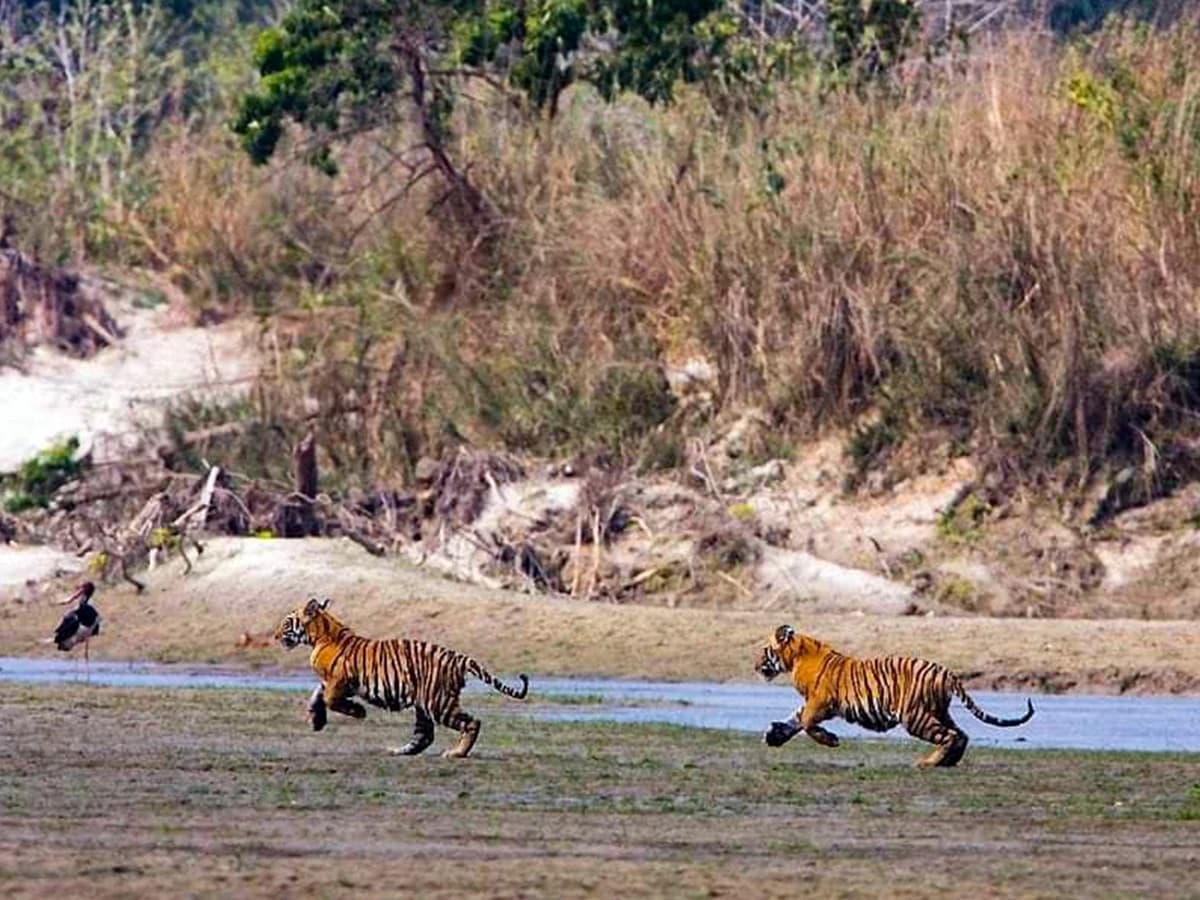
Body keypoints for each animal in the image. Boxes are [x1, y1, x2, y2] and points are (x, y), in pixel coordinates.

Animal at [275, 598, 529, 758]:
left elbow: (329, 698)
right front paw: (316, 719)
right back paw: (399, 751)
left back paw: (456, 753)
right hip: (424, 705)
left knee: (471, 722)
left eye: (286, 622)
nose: (275, 636)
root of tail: (458, 657)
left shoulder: (341, 680)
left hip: (437, 702)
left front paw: (358, 712)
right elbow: (317, 694)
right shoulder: (332, 681)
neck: (320, 636)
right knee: (424, 736)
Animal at [754, 625, 1034, 767]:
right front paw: (774, 736)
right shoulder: (812, 703)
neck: (796, 657)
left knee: (950, 735)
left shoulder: (821, 702)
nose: (755, 666)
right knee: (961, 734)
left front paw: (830, 740)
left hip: (915, 716)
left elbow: (807, 722)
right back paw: (948, 761)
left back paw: (929, 762)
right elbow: (796, 719)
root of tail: (945, 671)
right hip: (937, 710)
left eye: (765, 650)